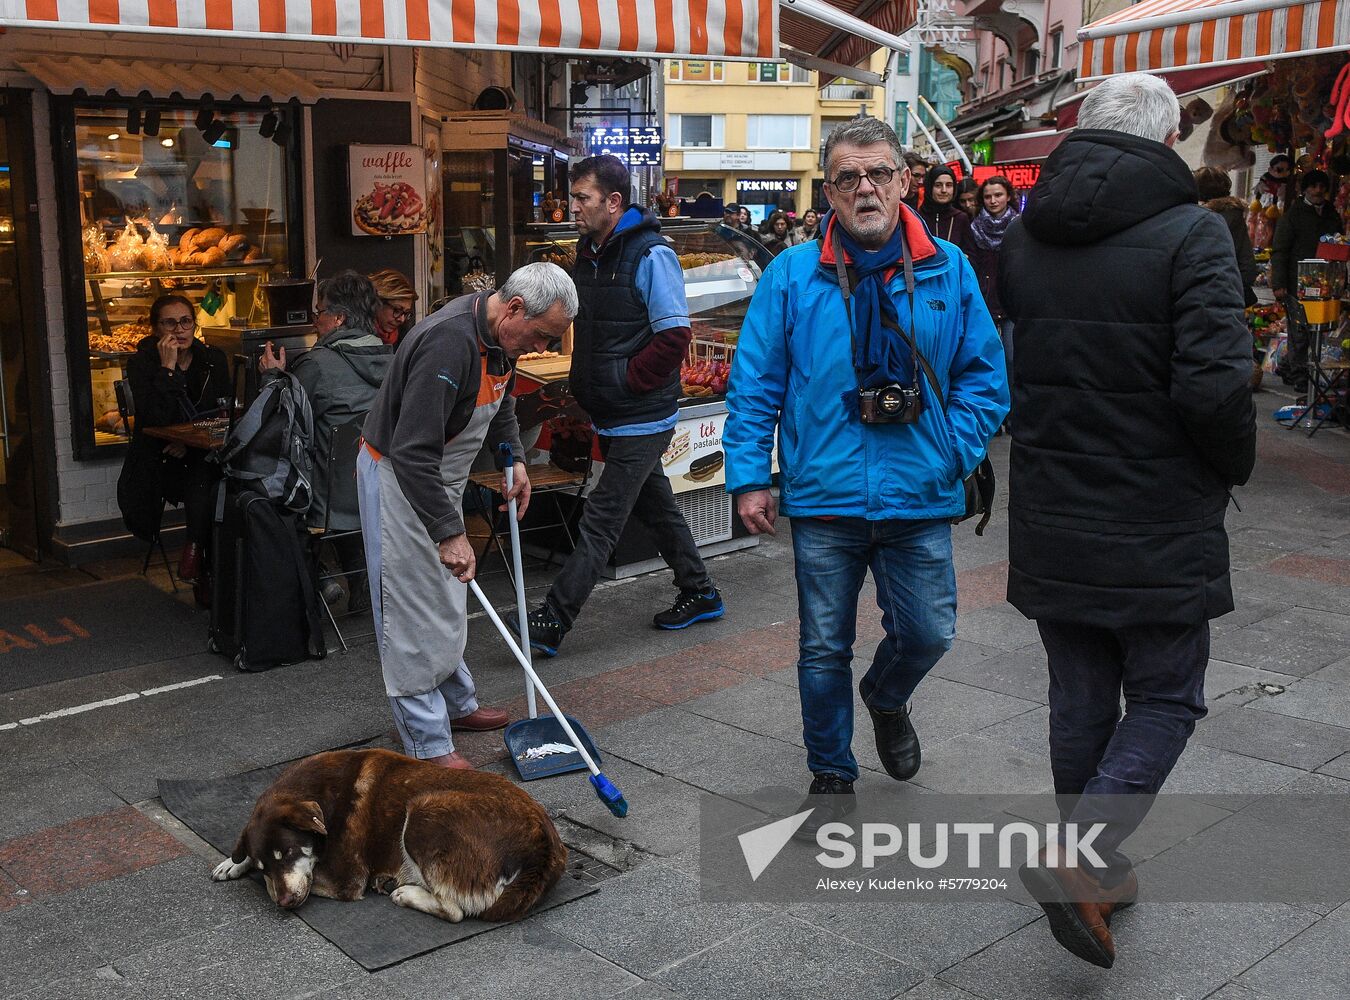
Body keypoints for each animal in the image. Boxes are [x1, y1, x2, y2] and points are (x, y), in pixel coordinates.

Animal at [209, 750, 564, 923]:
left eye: (289, 853)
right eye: (266, 865)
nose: (285, 903)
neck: (323, 798)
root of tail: (543, 846)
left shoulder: (345, 879)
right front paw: (233, 862)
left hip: (425, 811)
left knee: (455, 911)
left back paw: (406, 893)